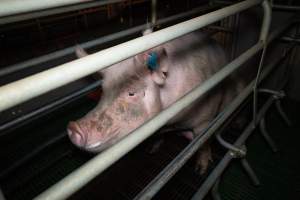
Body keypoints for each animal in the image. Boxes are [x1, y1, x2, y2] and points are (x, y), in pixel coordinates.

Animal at [67, 30, 243, 173]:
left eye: (131, 92)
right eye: (103, 90)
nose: (73, 127)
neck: (173, 123)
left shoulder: (205, 118)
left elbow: (203, 143)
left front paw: (201, 171)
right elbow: (158, 137)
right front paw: (152, 150)